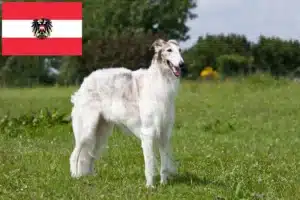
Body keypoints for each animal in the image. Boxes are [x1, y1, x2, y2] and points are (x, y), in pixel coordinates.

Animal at [69, 38, 185, 188]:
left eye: (180, 51)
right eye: (169, 50)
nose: (182, 64)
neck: (160, 81)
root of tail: (85, 82)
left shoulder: (164, 133)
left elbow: (164, 165)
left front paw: (164, 184)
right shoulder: (148, 132)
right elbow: (149, 163)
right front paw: (150, 186)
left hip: (101, 132)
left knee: (90, 155)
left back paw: (90, 176)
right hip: (86, 130)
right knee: (75, 154)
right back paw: (75, 176)